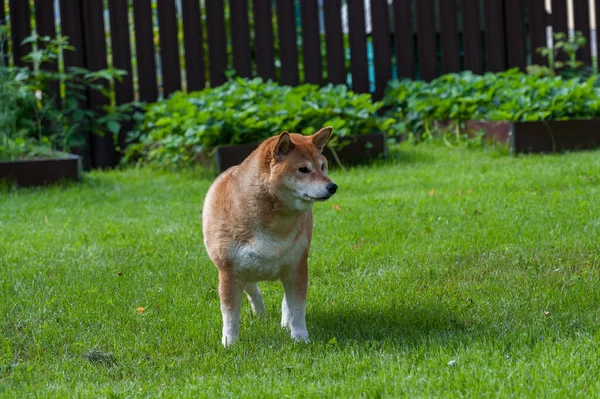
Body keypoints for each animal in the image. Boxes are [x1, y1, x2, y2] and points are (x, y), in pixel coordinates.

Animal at [203, 128, 338, 346]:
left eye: (322, 166)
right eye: (303, 169)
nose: (332, 186)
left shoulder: (297, 266)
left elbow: (297, 308)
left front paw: (300, 337)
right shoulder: (229, 271)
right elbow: (230, 314)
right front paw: (230, 342)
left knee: (285, 300)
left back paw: (285, 322)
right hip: (243, 270)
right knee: (253, 290)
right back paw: (260, 314)